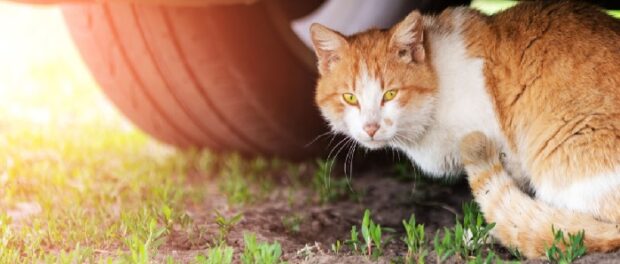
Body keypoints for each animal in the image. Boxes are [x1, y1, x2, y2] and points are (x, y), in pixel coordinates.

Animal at [312, 0, 620, 258]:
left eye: (390, 94)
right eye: (350, 98)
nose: (371, 127)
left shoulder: (509, 155)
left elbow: (507, 208)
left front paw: (487, 235)